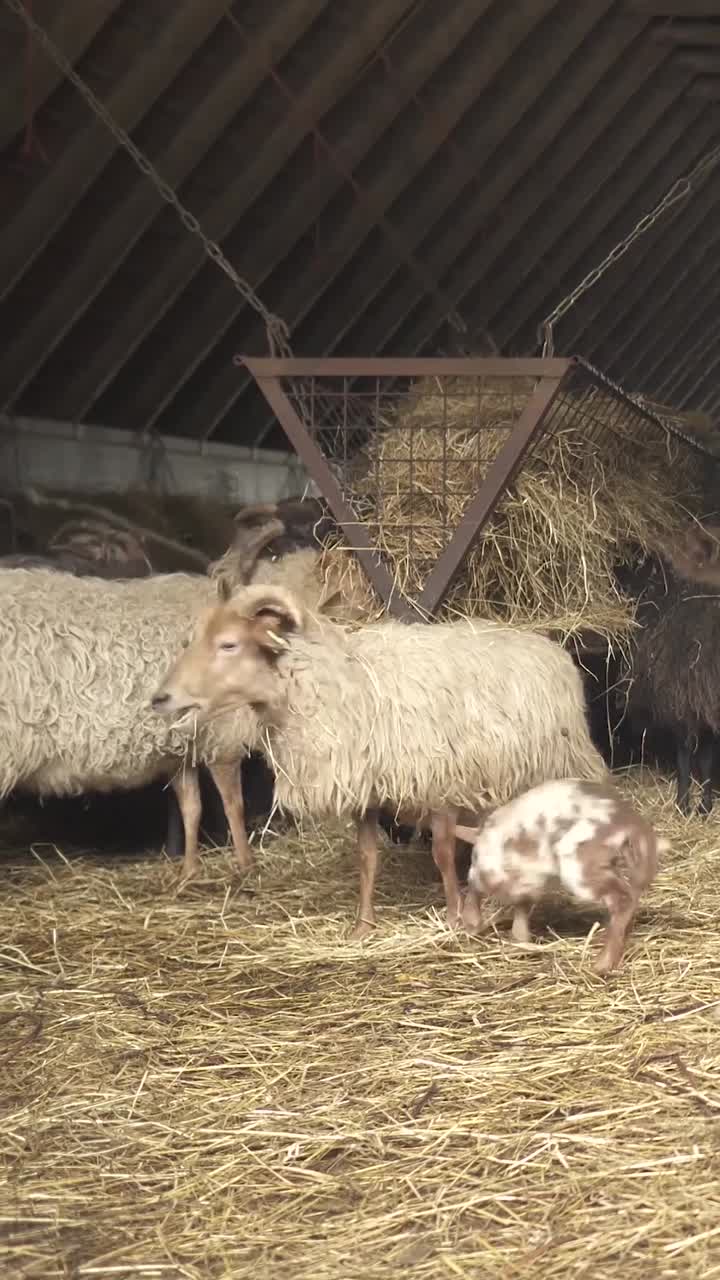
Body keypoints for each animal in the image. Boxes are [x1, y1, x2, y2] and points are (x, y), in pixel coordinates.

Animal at [151, 583, 607, 937]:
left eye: (228, 643)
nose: (160, 698)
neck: (333, 683)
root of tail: (545, 642)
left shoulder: (440, 780)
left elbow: (441, 852)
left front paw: (455, 917)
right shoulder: (365, 789)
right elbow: (367, 857)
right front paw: (363, 925)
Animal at [455, 779, 664, 975]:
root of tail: (632, 823)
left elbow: (477, 888)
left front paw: (472, 925)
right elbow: (521, 908)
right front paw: (520, 942)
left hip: (579, 867)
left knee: (622, 898)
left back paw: (600, 965)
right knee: (630, 896)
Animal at [621, 521, 720, 816]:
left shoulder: (683, 698)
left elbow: (688, 753)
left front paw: (686, 803)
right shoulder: (696, 702)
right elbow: (703, 754)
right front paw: (701, 805)